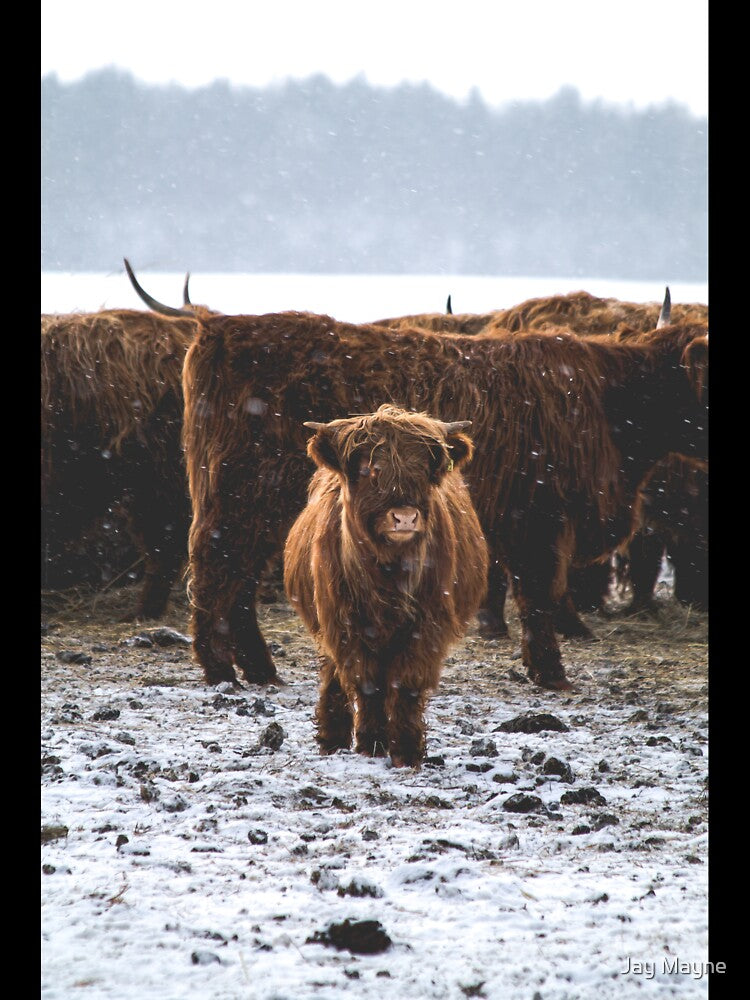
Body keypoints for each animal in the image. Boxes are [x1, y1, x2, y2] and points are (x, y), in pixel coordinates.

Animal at [175, 303, 707, 692]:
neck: (610, 403)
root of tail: (219, 326)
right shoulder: (540, 519)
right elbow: (540, 596)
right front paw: (551, 674)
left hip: (260, 511)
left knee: (240, 581)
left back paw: (259, 670)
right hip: (241, 498)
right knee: (216, 570)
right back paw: (219, 671)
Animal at [283, 405, 489, 766]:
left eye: (423, 469)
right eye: (369, 470)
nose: (404, 517)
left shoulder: (427, 627)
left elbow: (406, 684)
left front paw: (407, 750)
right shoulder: (345, 625)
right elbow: (367, 683)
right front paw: (372, 744)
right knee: (333, 673)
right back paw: (331, 740)